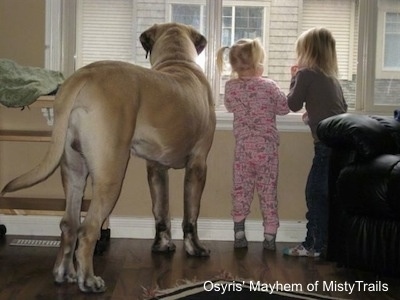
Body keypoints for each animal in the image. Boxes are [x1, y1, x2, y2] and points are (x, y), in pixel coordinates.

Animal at [0, 23, 216, 292]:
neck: (178, 61)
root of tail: (85, 74)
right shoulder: (198, 164)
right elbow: (191, 213)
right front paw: (195, 248)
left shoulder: (155, 168)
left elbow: (161, 209)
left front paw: (162, 245)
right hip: (110, 174)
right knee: (88, 229)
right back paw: (88, 280)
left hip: (73, 169)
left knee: (69, 224)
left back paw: (65, 273)